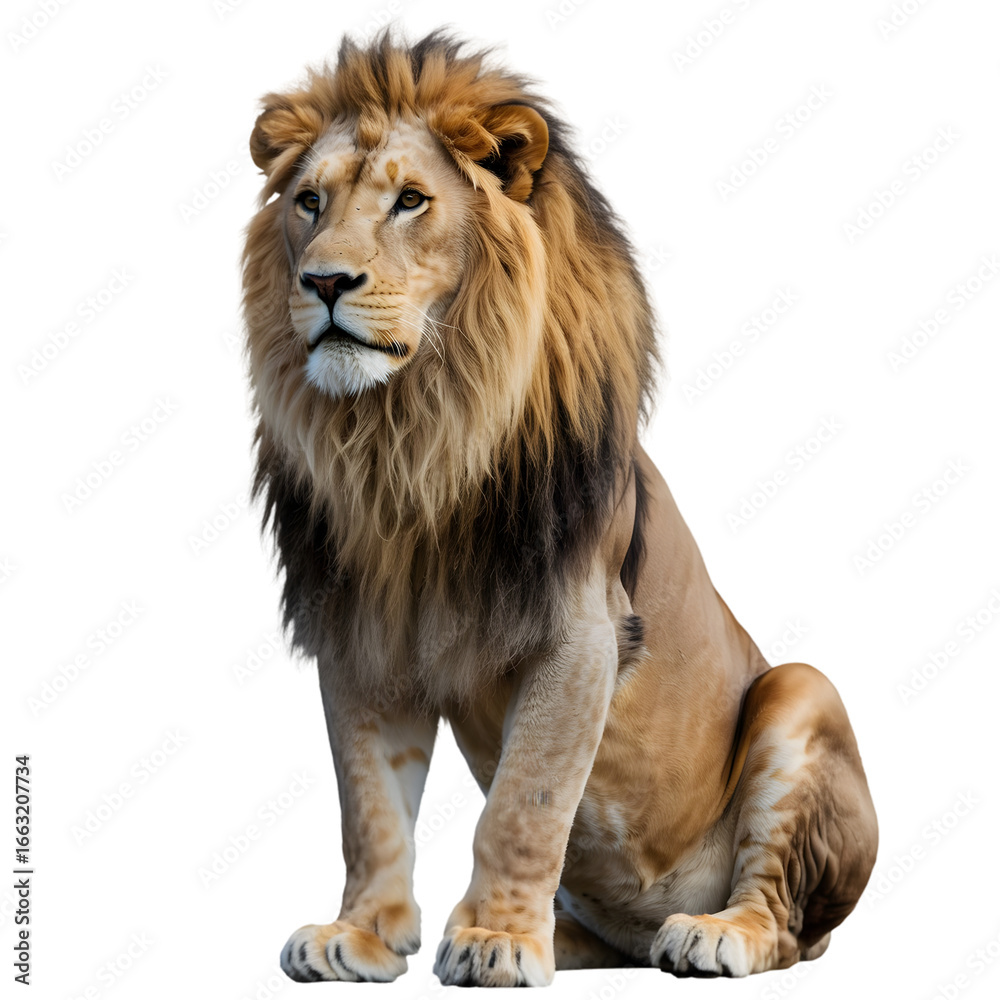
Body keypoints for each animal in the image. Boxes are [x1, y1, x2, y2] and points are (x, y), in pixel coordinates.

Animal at [241, 31, 878, 987]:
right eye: (310, 202)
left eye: (411, 200)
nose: (322, 283)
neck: (411, 441)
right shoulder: (361, 635)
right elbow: (370, 805)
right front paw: (362, 935)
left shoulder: (578, 630)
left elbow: (525, 802)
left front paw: (498, 942)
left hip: (802, 692)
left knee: (789, 926)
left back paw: (711, 933)